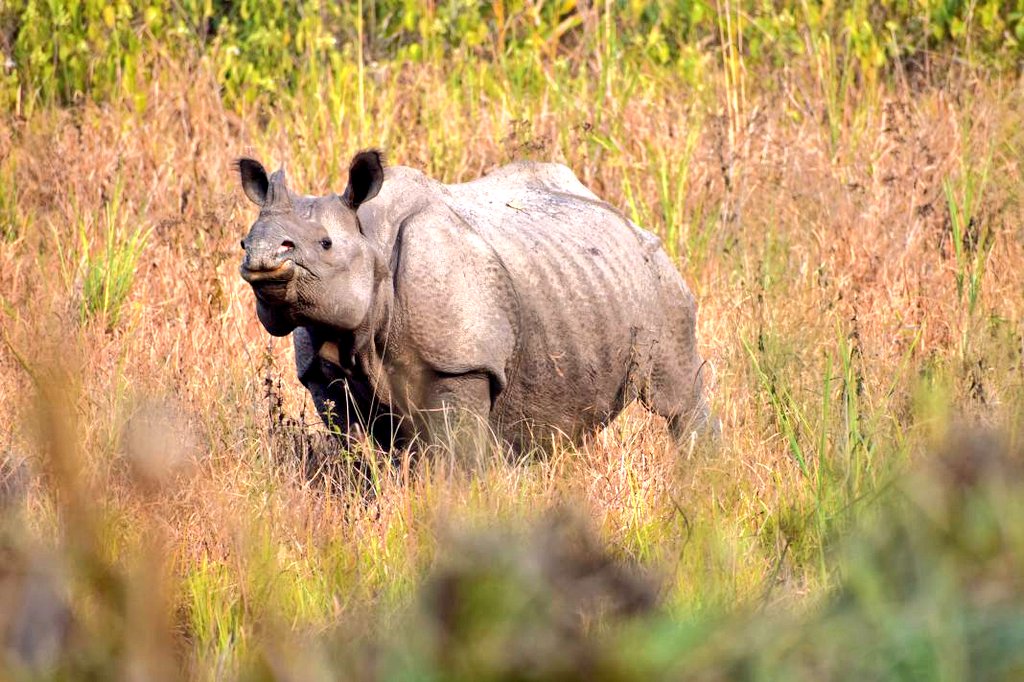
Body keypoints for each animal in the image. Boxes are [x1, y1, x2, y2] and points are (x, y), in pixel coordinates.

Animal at [237, 151, 712, 458]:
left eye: (325, 244)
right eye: (243, 242)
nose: (261, 255)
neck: (370, 239)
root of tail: (625, 217)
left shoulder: (460, 364)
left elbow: (455, 458)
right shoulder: (323, 372)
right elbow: (356, 455)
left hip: (658, 278)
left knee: (679, 399)